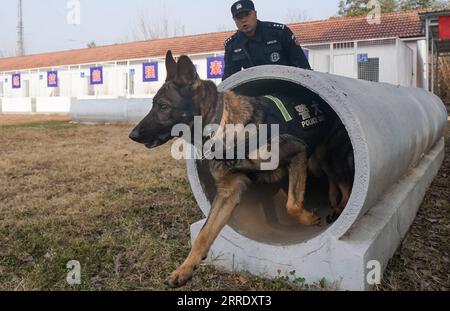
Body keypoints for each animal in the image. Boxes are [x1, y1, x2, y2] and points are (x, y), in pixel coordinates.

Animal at [128, 50, 354, 288]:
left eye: (163, 106)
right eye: (153, 104)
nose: (132, 135)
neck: (224, 126)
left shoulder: (297, 152)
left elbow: (292, 204)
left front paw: (310, 219)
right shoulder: (229, 192)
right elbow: (204, 234)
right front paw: (184, 269)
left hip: (328, 158)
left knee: (345, 183)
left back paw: (340, 207)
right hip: (316, 163)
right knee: (332, 179)